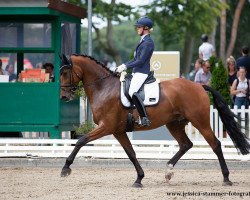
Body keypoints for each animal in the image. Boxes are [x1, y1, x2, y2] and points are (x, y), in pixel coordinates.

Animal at [59, 54, 249, 187]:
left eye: (65, 72)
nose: (63, 96)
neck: (104, 88)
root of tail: (198, 86)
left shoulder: (107, 126)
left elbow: (81, 141)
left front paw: (65, 168)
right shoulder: (118, 130)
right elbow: (131, 153)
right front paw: (139, 179)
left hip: (200, 121)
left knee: (215, 144)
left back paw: (226, 178)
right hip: (174, 124)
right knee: (186, 144)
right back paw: (168, 171)